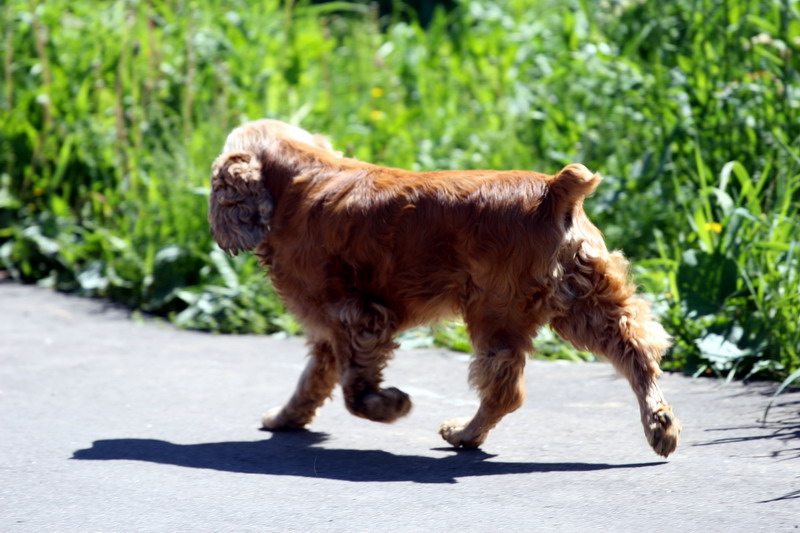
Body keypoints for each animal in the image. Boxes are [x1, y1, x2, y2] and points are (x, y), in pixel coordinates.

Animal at [208, 118, 680, 456]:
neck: (298, 182)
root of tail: (554, 190)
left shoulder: (357, 318)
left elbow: (354, 391)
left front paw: (391, 405)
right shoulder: (330, 331)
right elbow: (312, 382)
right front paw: (285, 418)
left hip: (496, 314)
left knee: (504, 391)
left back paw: (464, 434)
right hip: (586, 304)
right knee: (637, 352)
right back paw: (661, 426)